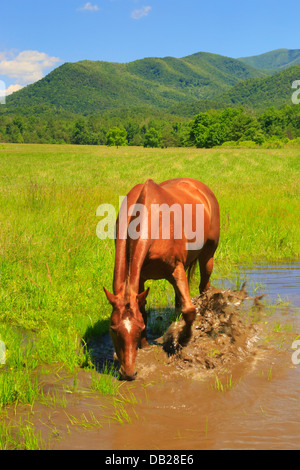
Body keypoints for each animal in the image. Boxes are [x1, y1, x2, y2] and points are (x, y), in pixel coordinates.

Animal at [104, 178, 219, 380]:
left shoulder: (176, 268)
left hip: (207, 257)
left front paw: (183, 340)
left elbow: (190, 310)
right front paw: (145, 345)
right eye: (113, 329)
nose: (128, 374)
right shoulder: (140, 277)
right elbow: (142, 309)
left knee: (204, 287)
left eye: (138, 329)